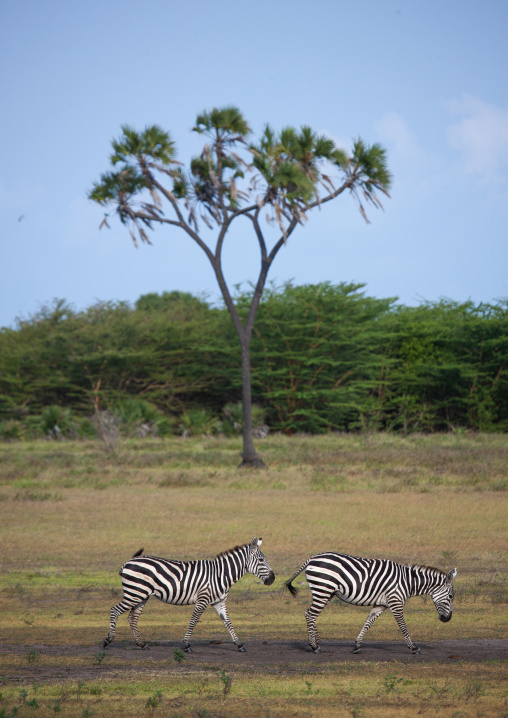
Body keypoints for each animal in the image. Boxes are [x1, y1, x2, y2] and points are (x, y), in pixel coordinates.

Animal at [104, 538, 275, 653]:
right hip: (134, 592)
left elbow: (228, 623)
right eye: (261, 560)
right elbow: (194, 620)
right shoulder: (203, 598)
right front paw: (186, 645)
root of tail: (128, 562)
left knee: (132, 617)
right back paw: (108, 640)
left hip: (141, 595)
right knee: (115, 610)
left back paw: (142, 644)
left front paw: (239, 644)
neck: (220, 574)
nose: (272, 579)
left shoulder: (219, 602)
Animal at [285, 552, 456, 654]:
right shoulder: (395, 602)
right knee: (310, 614)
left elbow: (369, 622)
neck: (407, 582)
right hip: (323, 589)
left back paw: (317, 642)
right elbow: (403, 625)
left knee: (310, 614)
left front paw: (357, 645)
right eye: (450, 596)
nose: (447, 619)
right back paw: (314, 646)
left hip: (325, 592)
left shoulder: (381, 605)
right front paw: (413, 647)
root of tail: (312, 558)